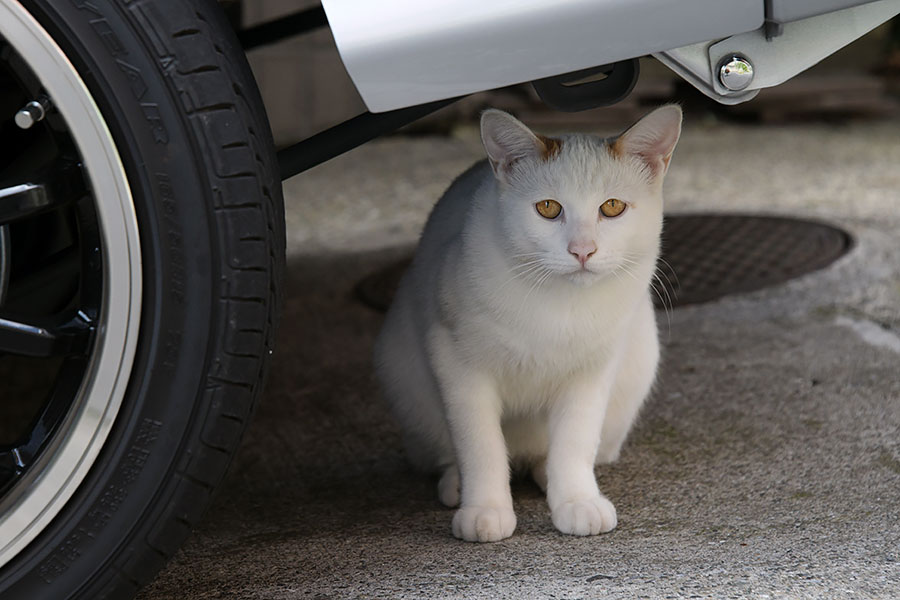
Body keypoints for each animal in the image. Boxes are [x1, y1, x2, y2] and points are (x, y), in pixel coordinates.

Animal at [374, 105, 684, 540]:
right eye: (549, 208)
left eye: (612, 207)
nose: (582, 250)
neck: (559, 306)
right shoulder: (457, 364)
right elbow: (480, 444)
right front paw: (485, 508)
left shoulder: (592, 370)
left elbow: (575, 439)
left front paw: (576, 499)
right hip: (405, 378)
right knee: (446, 451)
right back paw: (457, 484)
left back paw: (546, 474)